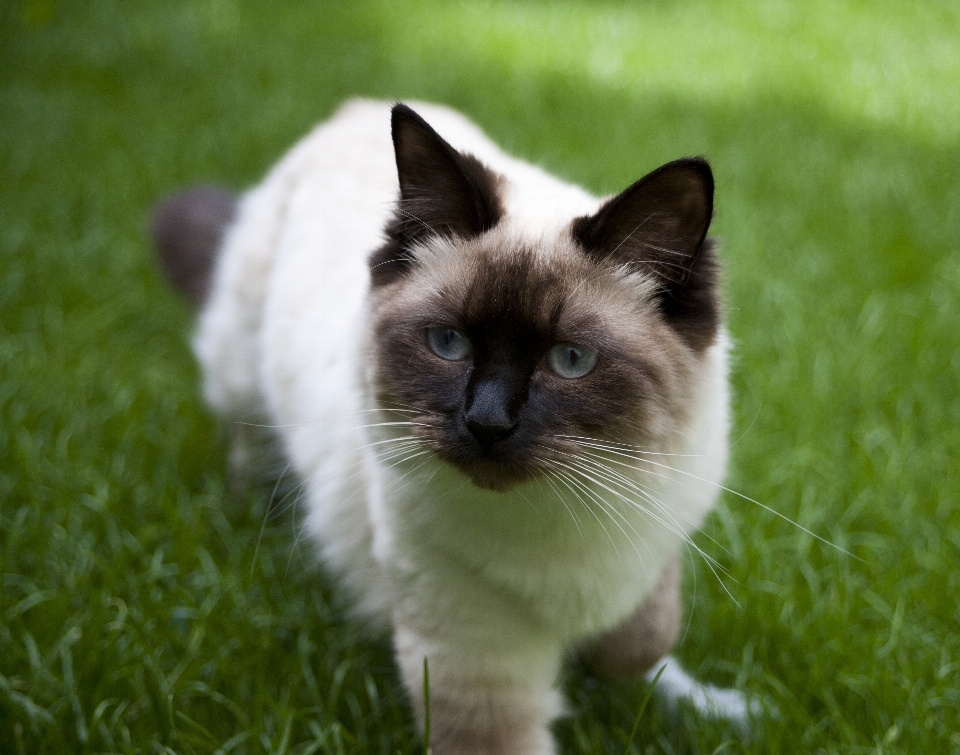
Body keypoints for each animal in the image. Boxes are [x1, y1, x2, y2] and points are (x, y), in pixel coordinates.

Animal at [152, 100, 752, 755]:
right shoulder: (475, 664)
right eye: (449, 343)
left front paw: (622, 662)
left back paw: (721, 708)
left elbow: (642, 636)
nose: (487, 423)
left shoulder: (660, 527)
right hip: (243, 380)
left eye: (570, 360)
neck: (559, 523)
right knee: (248, 451)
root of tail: (356, 106)